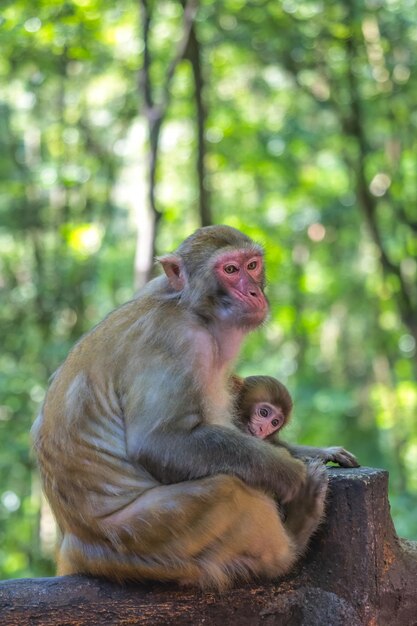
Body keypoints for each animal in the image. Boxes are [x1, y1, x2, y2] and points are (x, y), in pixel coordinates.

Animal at [32, 227, 328, 588]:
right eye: (231, 270)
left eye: (253, 265)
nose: (254, 292)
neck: (192, 309)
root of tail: (76, 548)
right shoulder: (177, 340)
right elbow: (159, 441)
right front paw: (290, 473)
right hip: (141, 538)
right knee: (228, 491)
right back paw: (294, 537)